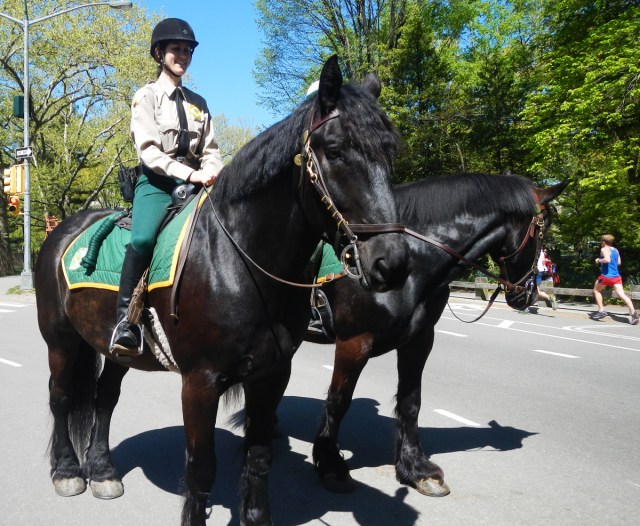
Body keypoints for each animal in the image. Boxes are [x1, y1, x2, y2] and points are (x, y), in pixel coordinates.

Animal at [35, 56, 410, 526]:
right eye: (336, 150)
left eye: (390, 152)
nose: (391, 262)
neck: (238, 263)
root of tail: (62, 230)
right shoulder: (201, 381)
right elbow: (201, 468)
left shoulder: (271, 375)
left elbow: (259, 456)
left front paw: (256, 516)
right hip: (61, 341)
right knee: (62, 397)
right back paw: (67, 470)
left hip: (117, 347)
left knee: (104, 399)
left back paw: (102, 470)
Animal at [311, 172, 567, 497]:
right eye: (541, 233)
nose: (529, 293)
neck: (412, 262)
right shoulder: (354, 343)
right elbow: (338, 401)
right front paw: (330, 463)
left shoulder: (419, 341)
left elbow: (410, 403)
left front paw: (415, 468)